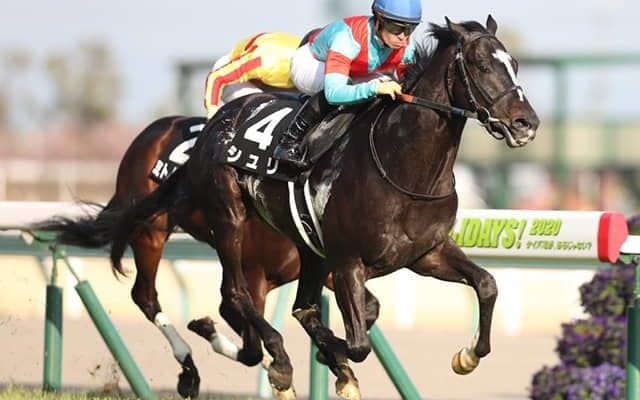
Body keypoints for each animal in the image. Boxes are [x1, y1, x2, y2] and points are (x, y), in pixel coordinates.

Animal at [110, 15, 539, 399]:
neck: (405, 168)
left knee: (280, 309)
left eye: (515, 65)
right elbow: (357, 343)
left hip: (306, 249)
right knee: (219, 295)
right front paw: (326, 363)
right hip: (206, 221)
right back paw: (253, 361)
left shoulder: (426, 254)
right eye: (482, 65)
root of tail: (218, 121)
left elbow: (486, 284)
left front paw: (467, 356)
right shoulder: (347, 261)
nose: (527, 123)